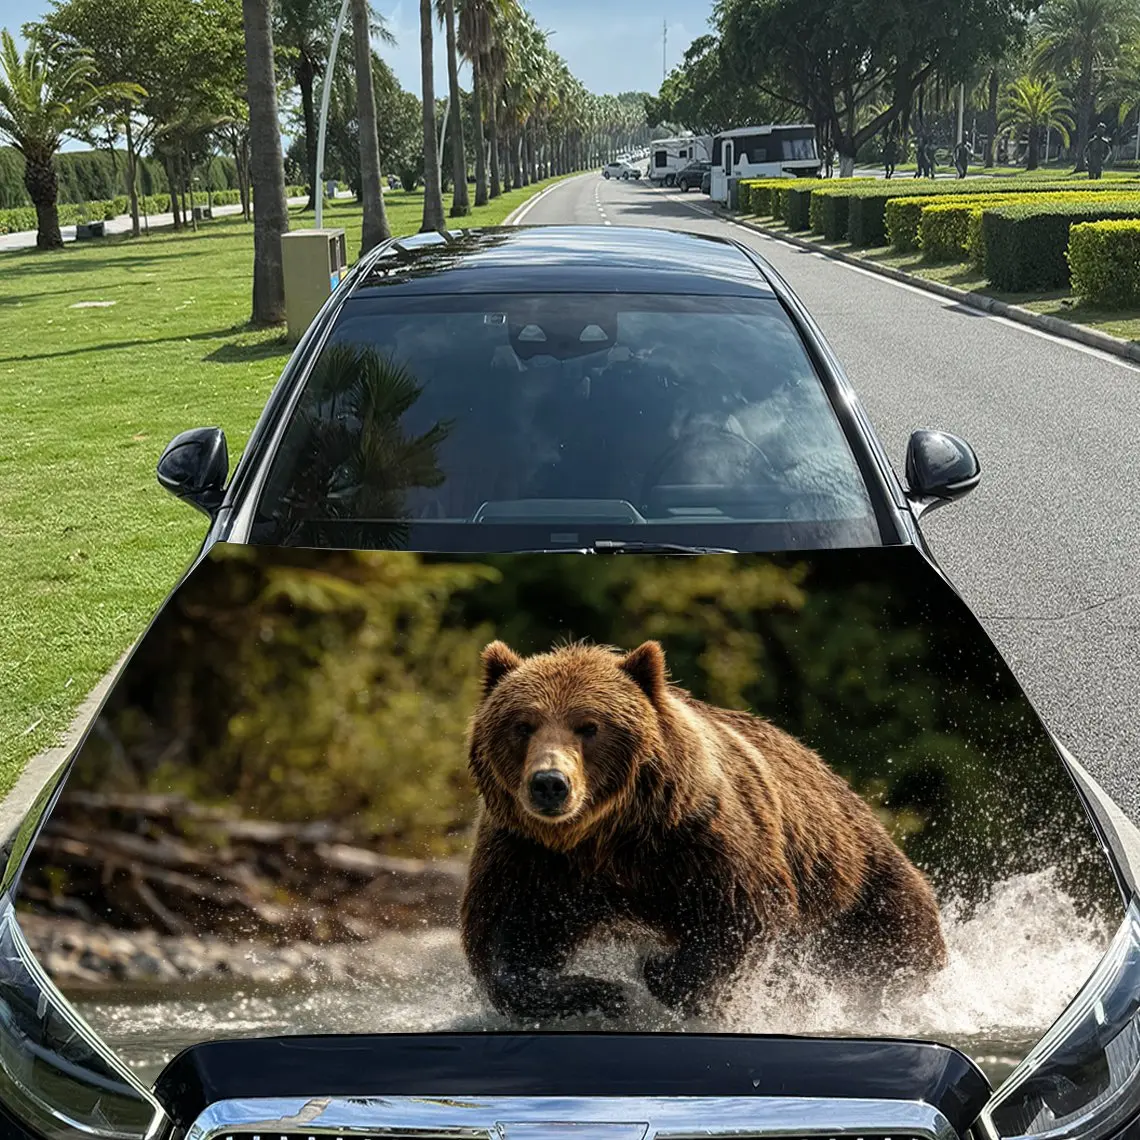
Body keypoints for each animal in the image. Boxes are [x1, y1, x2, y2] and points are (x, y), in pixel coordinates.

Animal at [460, 639, 948, 1021]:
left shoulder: (694, 835)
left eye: (589, 726)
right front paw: (605, 992)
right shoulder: (529, 857)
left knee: (896, 948)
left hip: (859, 890)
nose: (549, 783)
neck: (603, 835)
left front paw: (656, 969)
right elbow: (506, 941)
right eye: (522, 724)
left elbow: (740, 915)